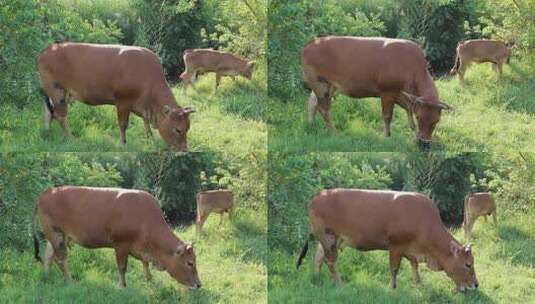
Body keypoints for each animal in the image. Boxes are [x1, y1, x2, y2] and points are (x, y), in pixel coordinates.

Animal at [31, 186, 203, 288]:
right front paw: (122, 286)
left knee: (48, 256)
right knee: (60, 259)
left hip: (57, 235)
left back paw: (46, 276)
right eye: (189, 263)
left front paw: (149, 278)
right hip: (56, 233)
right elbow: (122, 267)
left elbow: (145, 263)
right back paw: (70, 281)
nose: (199, 285)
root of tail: (46, 193)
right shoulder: (121, 245)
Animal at [38, 42, 197, 151]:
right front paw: (123, 143)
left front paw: (150, 141)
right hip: (57, 91)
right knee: (60, 115)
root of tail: (48, 50)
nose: (185, 150)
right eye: (178, 129)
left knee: (48, 111)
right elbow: (123, 124)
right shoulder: (123, 102)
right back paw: (70, 138)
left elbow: (146, 125)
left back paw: (47, 131)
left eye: (188, 128)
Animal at [298, 189, 482, 290]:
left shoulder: (411, 250)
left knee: (318, 257)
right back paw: (339, 282)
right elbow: (394, 269)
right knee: (330, 261)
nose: (476, 284)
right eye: (468, 264)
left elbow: (414, 266)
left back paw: (316, 277)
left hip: (329, 239)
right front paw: (392, 288)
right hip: (328, 237)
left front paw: (419, 283)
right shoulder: (396, 246)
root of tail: (318, 196)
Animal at [304, 36, 450, 150]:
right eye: (419, 117)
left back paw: (311, 125)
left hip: (327, 86)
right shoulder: (388, 91)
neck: (413, 68)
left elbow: (408, 107)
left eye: (437, 120)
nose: (424, 144)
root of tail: (310, 43)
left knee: (312, 102)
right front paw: (386, 136)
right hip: (320, 84)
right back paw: (333, 132)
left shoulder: (400, 93)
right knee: (324, 109)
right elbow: (387, 116)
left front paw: (412, 127)